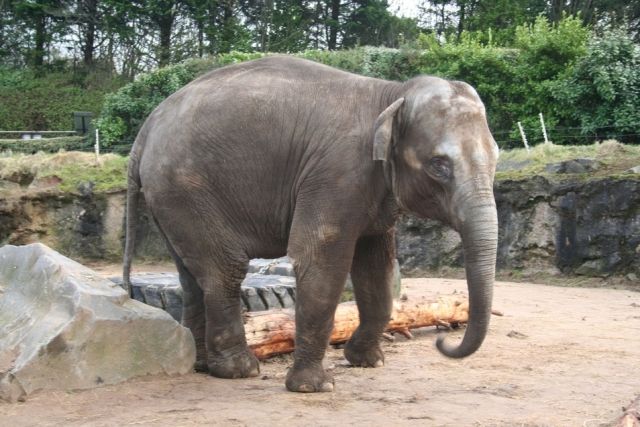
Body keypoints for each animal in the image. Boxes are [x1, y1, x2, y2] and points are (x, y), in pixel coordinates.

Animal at [121, 56, 500, 394]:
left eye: (497, 158)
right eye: (439, 165)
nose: (442, 339)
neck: (392, 93)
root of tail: (146, 129)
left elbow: (377, 268)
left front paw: (368, 362)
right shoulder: (336, 174)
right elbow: (320, 261)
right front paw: (314, 387)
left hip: (170, 199)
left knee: (190, 275)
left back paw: (203, 366)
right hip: (184, 189)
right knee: (225, 270)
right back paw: (239, 370)